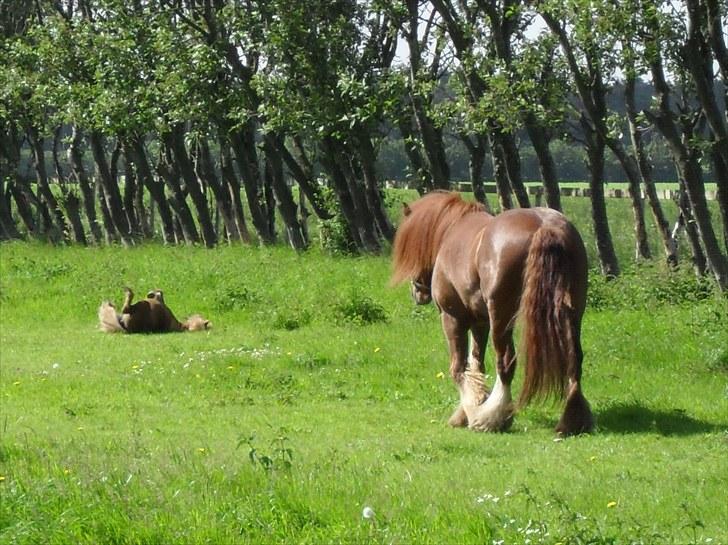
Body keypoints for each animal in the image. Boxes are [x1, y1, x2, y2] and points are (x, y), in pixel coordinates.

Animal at [392, 191, 592, 434]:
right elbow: (476, 364)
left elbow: (459, 368)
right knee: (574, 359)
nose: (417, 292)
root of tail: (546, 227)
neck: (451, 231)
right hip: (572, 313)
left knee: (505, 363)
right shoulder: (480, 322)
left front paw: (470, 411)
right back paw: (572, 419)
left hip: (501, 317)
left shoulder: (452, 318)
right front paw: (472, 405)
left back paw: (492, 417)